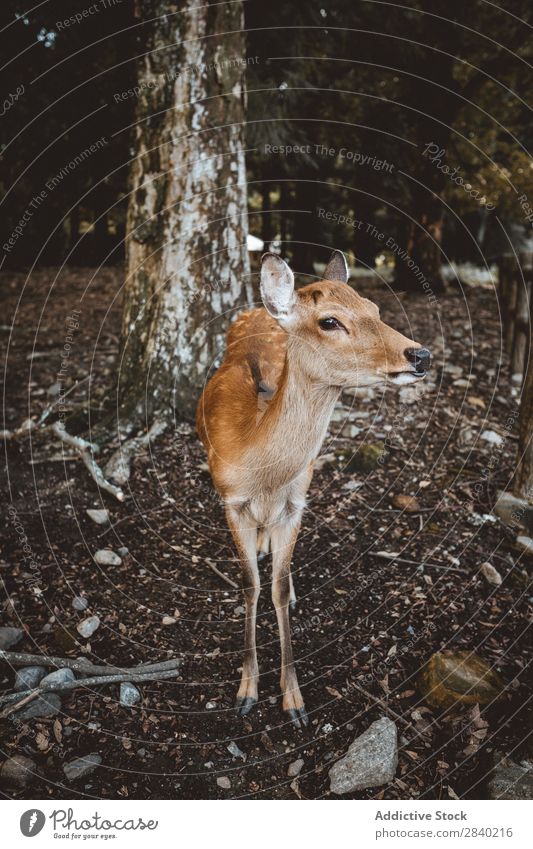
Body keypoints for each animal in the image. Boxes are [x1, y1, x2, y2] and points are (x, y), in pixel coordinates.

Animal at [197, 248, 430, 724]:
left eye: (374, 308)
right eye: (329, 321)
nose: (420, 354)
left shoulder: (295, 503)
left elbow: (279, 589)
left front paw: (294, 700)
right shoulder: (231, 502)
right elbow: (250, 585)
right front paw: (246, 692)